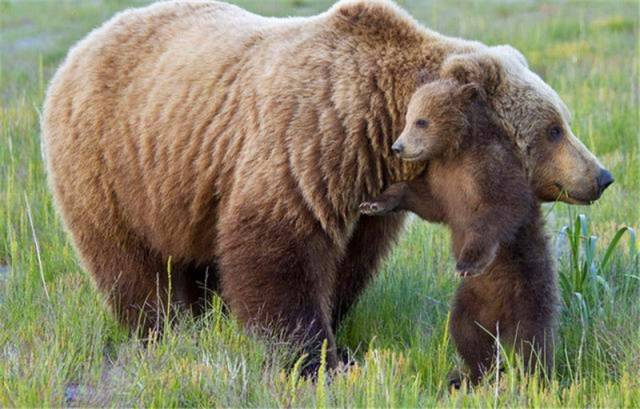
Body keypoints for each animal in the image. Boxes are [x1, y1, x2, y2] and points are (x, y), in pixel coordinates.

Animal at [42, 0, 612, 370]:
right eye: (554, 128)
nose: (601, 176)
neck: (378, 124)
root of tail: (80, 47)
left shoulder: (361, 190)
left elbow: (350, 261)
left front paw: (334, 331)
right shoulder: (306, 149)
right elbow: (278, 253)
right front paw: (314, 357)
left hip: (187, 185)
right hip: (112, 166)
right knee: (132, 264)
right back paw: (162, 330)